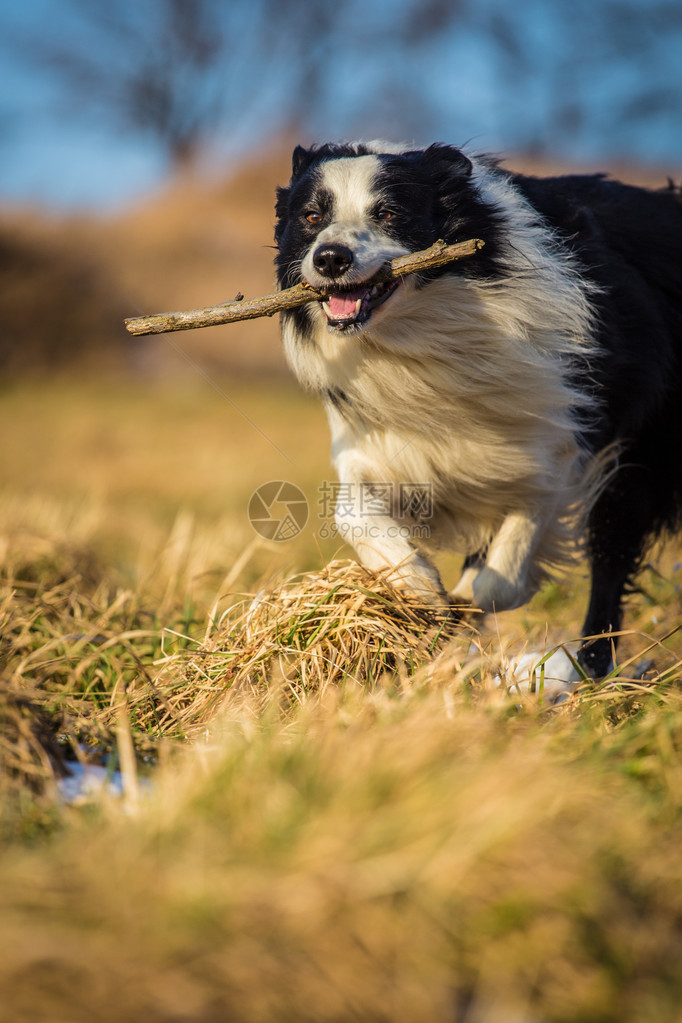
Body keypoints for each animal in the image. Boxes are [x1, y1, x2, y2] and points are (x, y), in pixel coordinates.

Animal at [274, 142, 678, 679]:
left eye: (388, 213)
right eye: (312, 216)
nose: (330, 258)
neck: (426, 333)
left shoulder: (563, 435)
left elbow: (503, 567)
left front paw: (461, 606)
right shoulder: (379, 445)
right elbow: (351, 511)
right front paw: (418, 585)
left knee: (611, 559)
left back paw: (585, 670)